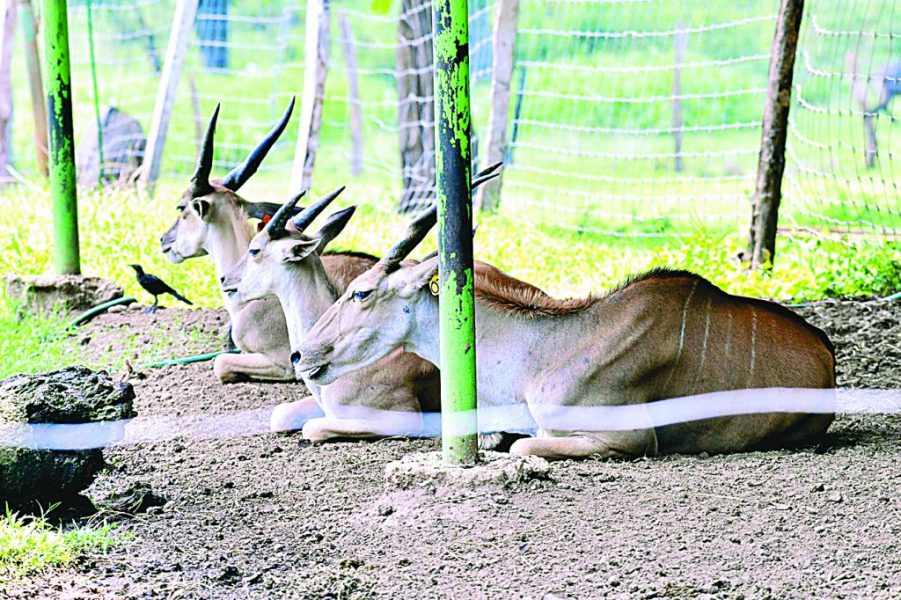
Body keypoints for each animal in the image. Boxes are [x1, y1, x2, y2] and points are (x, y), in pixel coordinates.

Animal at [294, 207, 836, 460]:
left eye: (360, 293)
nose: (302, 355)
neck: (542, 349)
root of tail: (827, 356)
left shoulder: (626, 440)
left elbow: (521, 446)